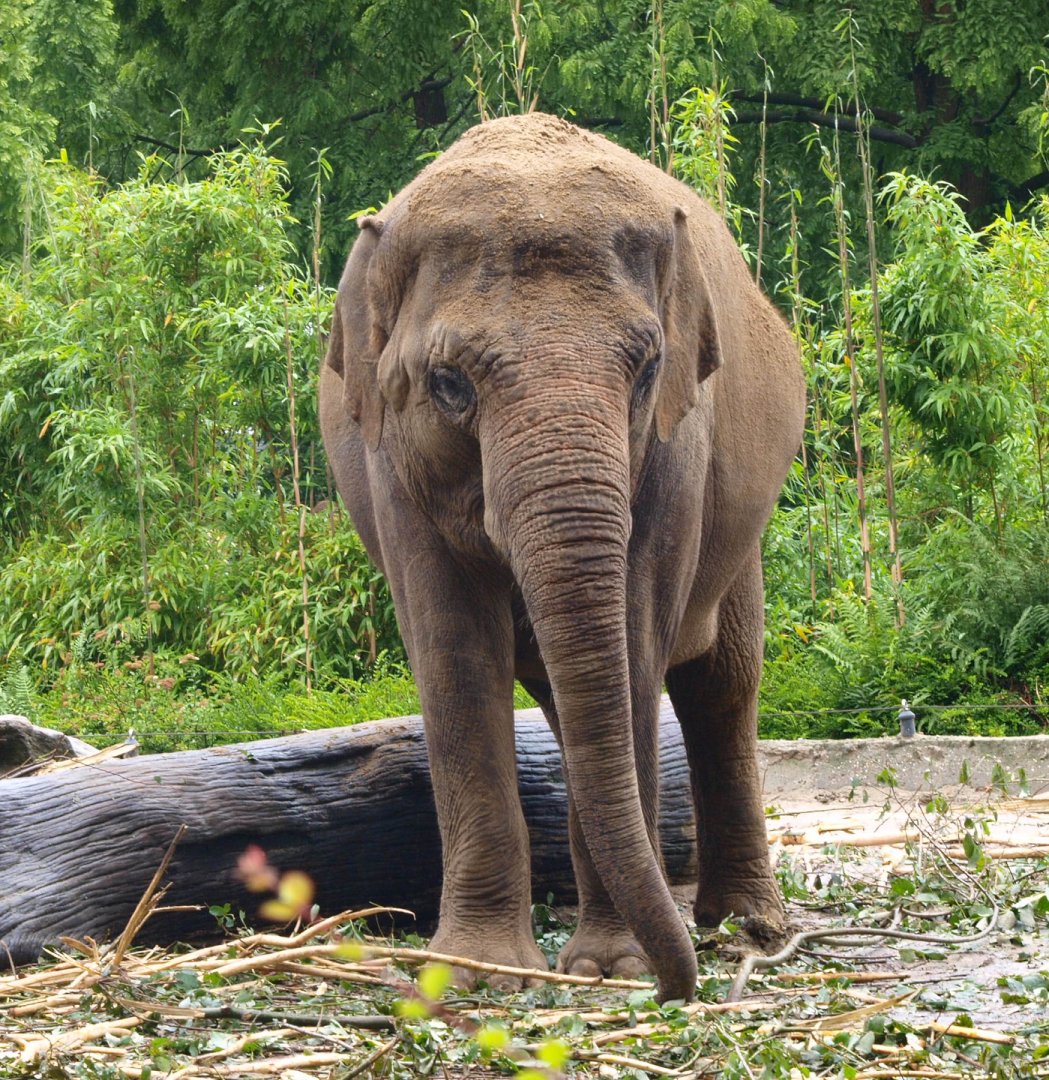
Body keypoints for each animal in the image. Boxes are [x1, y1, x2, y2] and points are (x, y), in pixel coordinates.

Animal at [319, 113, 805, 1004]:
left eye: (647, 369)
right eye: (447, 383)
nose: (676, 986)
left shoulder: (676, 449)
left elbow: (636, 638)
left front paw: (608, 967)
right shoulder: (389, 466)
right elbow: (451, 654)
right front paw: (473, 974)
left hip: (739, 529)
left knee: (719, 684)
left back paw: (746, 925)